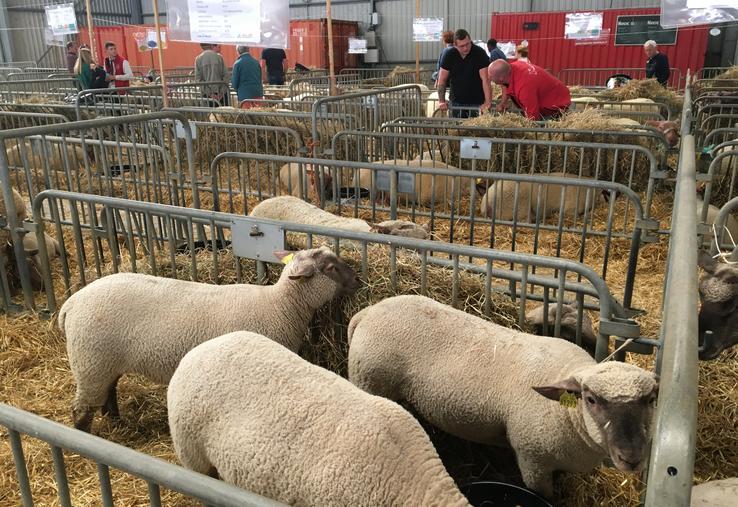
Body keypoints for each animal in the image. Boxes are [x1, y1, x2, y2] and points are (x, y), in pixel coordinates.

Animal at [59, 246, 358, 432]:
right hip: (90, 359)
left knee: (108, 392)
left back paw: (117, 421)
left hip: (103, 362)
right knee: (81, 409)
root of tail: (71, 304)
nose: (357, 279)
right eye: (330, 267)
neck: (279, 306)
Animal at [348, 296, 660, 498]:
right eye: (591, 399)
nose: (632, 458)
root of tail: (368, 312)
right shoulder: (533, 459)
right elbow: (546, 496)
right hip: (369, 378)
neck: (566, 413)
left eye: (650, 400)